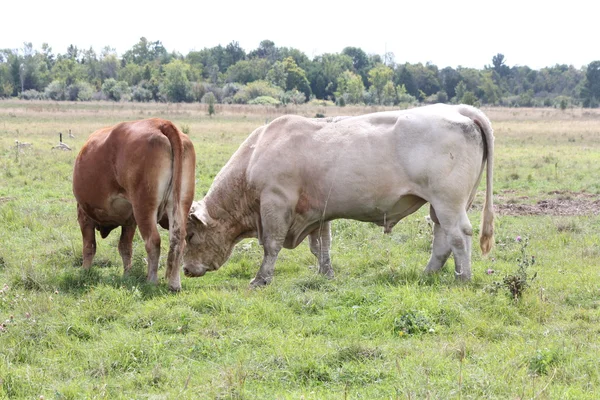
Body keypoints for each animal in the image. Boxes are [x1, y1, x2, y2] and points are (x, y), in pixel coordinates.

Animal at [72, 118, 195, 290]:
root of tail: (160, 123)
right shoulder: (130, 221)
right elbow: (125, 248)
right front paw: (127, 275)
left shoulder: (84, 215)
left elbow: (89, 247)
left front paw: (85, 271)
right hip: (180, 204)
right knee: (178, 240)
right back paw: (174, 284)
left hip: (144, 207)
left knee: (153, 241)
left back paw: (151, 281)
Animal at [185, 103, 494, 284]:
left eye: (190, 235)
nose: (186, 269)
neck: (257, 153)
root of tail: (460, 110)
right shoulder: (317, 212)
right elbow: (322, 246)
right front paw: (326, 274)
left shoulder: (275, 203)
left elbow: (271, 245)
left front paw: (261, 279)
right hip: (441, 205)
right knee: (442, 239)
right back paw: (429, 274)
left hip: (447, 202)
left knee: (458, 236)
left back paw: (463, 278)